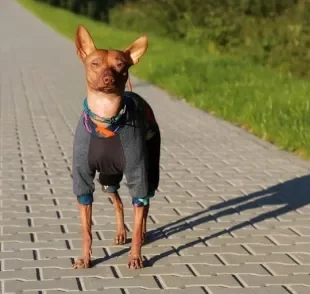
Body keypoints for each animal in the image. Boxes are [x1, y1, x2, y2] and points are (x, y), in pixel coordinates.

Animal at [71, 25, 161, 272]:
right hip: (107, 179)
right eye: (94, 63)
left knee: (145, 204)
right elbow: (86, 230)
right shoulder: (83, 183)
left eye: (120, 64)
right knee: (118, 203)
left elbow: (138, 218)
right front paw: (85, 258)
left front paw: (135, 257)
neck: (106, 118)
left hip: (150, 171)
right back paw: (121, 233)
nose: (108, 78)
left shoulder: (138, 175)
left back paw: (143, 232)